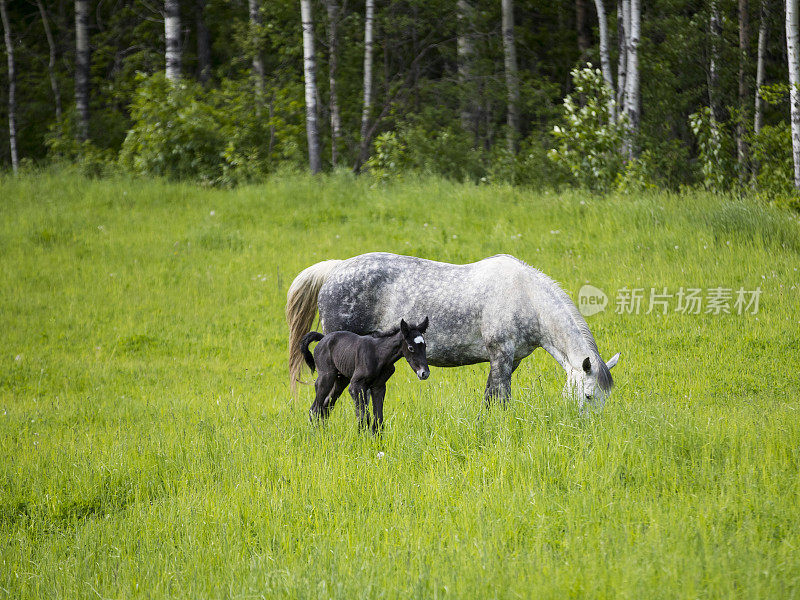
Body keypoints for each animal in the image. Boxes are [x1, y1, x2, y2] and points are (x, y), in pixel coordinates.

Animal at [284, 251, 620, 410]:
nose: (589, 432)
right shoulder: (500, 357)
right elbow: (500, 399)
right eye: (589, 396)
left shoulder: (509, 361)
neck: (525, 296)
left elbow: (491, 397)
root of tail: (335, 269)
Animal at [298, 318, 428, 432]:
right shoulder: (355, 386)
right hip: (326, 378)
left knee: (325, 406)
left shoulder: (378, 387)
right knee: (315, 409)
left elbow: (378, 419)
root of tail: (323, 338)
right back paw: (315, 433)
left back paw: (323, 432)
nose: (424, 373)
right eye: (411, 348)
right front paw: (362, 439)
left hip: (341, 380)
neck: (379, 354)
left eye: (425, 346)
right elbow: (363, 417)